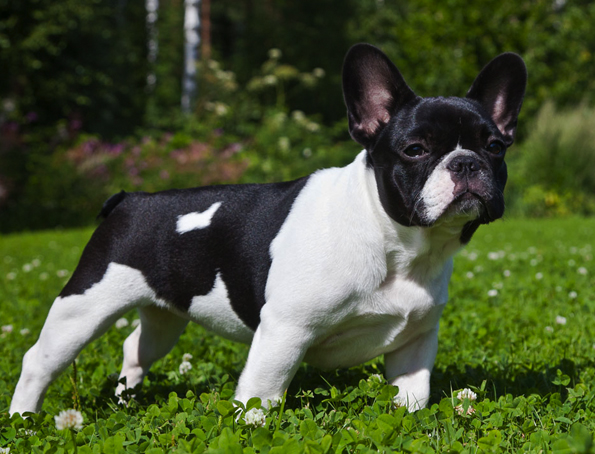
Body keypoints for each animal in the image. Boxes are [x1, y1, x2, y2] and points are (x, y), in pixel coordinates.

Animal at [10, 43, 528, 414]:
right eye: (416, 149)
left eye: (495, 147)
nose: (465, 162)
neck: (395, 241)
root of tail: (129, 200)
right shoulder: (285, 331)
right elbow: (262, 393)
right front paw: (253, 431)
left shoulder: (415, 342)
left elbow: (411, 397)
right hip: (84, 306)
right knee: (39, 360)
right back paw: (24, 422)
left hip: (164, 316)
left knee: (135, 349)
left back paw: (126, 400)